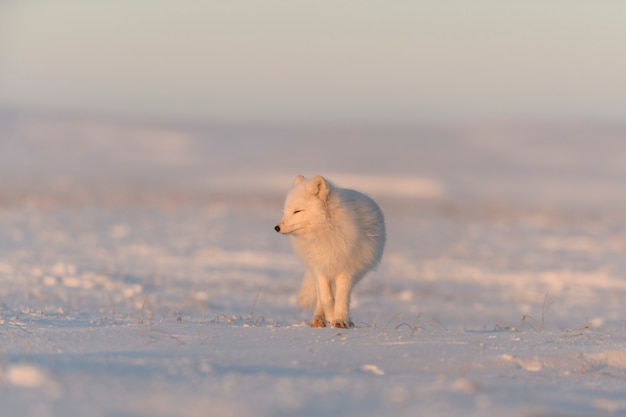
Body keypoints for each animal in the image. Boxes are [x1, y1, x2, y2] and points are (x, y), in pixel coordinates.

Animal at [274, 174, 386, 326]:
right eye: (285, 211)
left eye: (297, 211)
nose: (276, 228)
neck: (325, 233)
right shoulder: (320, 268)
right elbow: (326, 298)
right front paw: (331, 317)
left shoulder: (346, 269)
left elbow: (342, 297)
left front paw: (340, 320)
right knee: (321, 297)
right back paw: (318, 319)